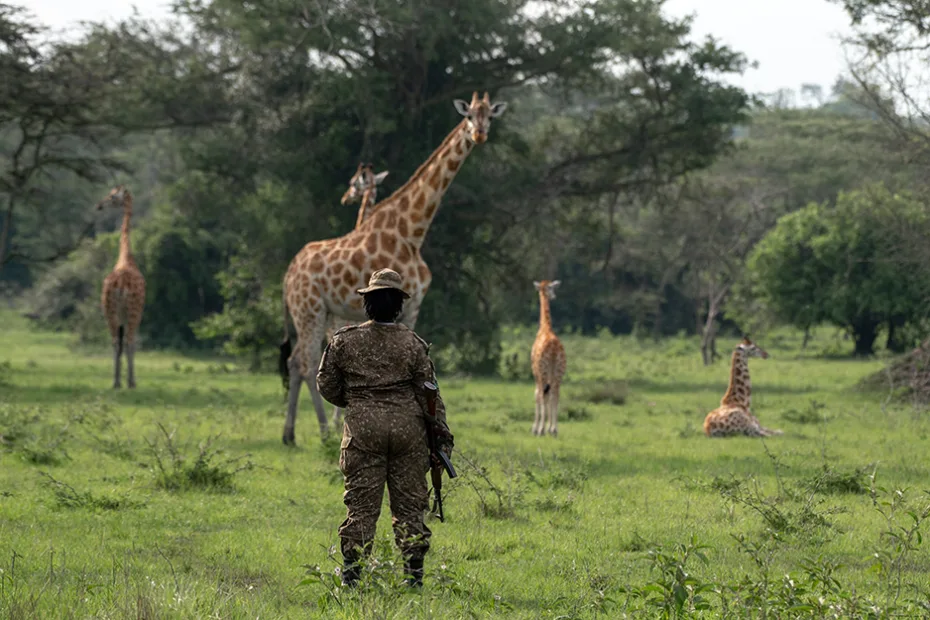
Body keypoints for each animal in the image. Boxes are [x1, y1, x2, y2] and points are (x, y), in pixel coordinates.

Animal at [278, 91, 507, 444]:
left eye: (489, 116)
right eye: (469, 115)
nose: (480, 134)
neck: (412, 231)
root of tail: (289, 273)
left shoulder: (412, 307)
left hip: (316, 312)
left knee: (294, 362)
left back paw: (292, 434)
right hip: (309, 309)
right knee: (305, 363)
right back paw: (323, 432)